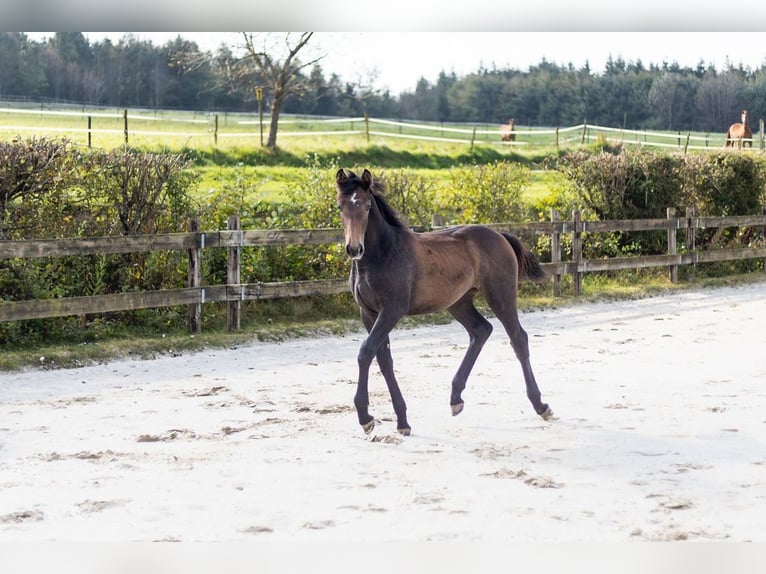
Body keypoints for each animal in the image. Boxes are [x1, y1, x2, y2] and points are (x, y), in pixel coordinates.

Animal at [336, 169, 552, 438]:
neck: (383, 254)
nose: (354, 248)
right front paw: (402, 421)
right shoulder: (368, 313)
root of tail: (499, 235)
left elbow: (366, 351)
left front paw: (365, 417)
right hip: (459, 302)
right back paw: (456, 398)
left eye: (366, 206)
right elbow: (383, 359)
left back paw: (541, 405)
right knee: (481, 330)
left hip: (500, 295)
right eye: (340, 206)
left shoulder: (392, 310)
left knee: (517, 338)